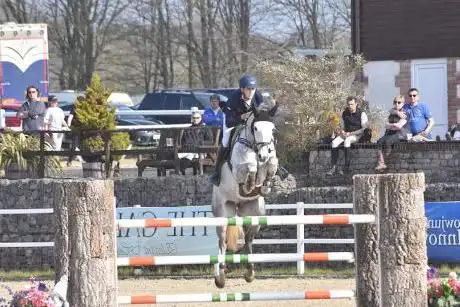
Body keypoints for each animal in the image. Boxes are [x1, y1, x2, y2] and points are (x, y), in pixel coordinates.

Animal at [211, 100, 276, 288]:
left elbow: (272, 164)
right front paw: (249, 183)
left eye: (273, 129)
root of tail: (237, 204)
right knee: (222, 241)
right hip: (223, 211)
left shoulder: (269, 160)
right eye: (255, 128)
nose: (263, 155)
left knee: (248, 240)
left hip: (254, 213)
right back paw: (220, 276)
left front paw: (265, 184)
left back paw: (249, 271)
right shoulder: (240, 169)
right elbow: (250, 167)